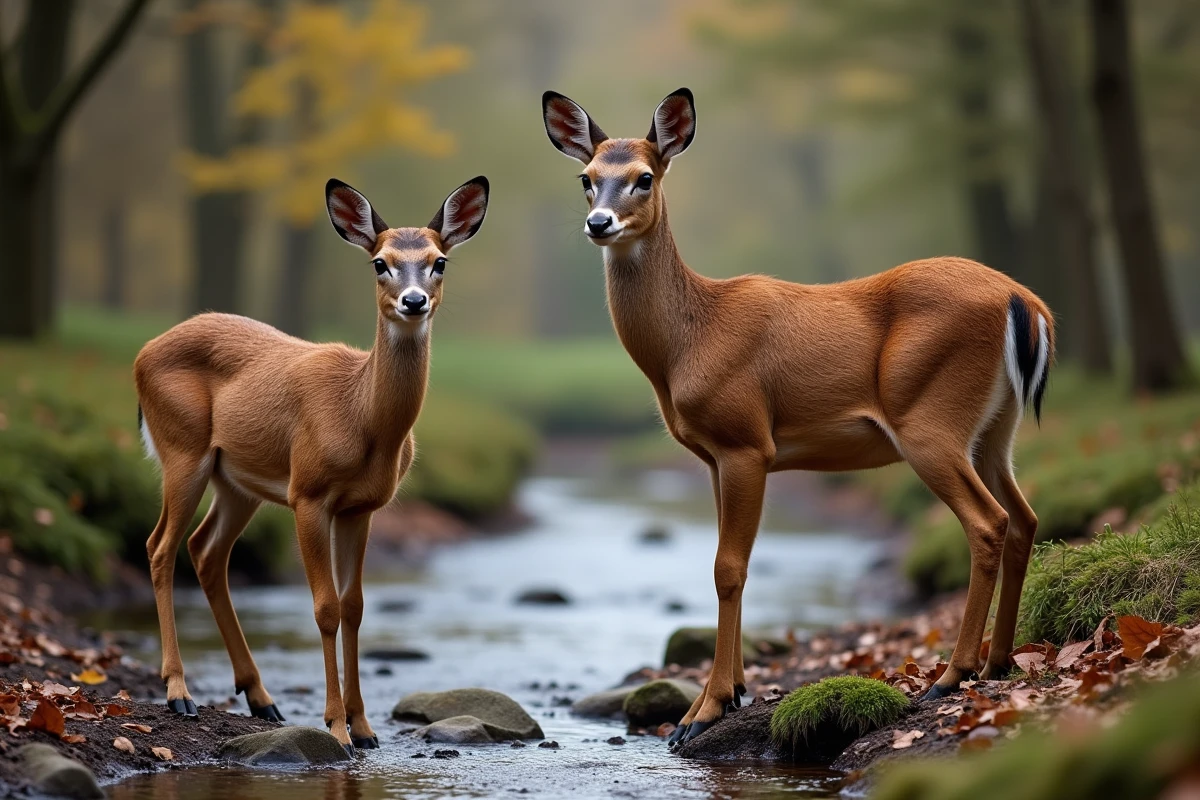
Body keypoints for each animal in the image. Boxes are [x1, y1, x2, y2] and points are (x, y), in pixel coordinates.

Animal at [133, 176, 489, 754]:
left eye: (439, 261)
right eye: (380, 262)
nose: (414, 301)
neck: (362, 417)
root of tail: (142, 353)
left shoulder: (361, 508)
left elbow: (354, 606)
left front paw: (365, 728)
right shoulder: (308, 494)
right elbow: (324, 607)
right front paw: (337, 727)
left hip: (237, 481)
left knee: (206, 551)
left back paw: (262, 698)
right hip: (182, 450)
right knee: (160, 546)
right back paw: (179, 692)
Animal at [542, 88, 1053, 746]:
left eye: (644, 178)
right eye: (587, 178)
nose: (599, 222)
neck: (687, 342)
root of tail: (1027, 302)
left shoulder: (745, 441)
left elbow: (727, 568)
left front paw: (703, 711)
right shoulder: (714, 457)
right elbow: (736, 565)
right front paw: (730, 693)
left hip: (930, 421)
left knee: (988, 523)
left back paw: (952, 675)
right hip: (995, 430)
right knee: (1025, 517)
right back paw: (999, 663)